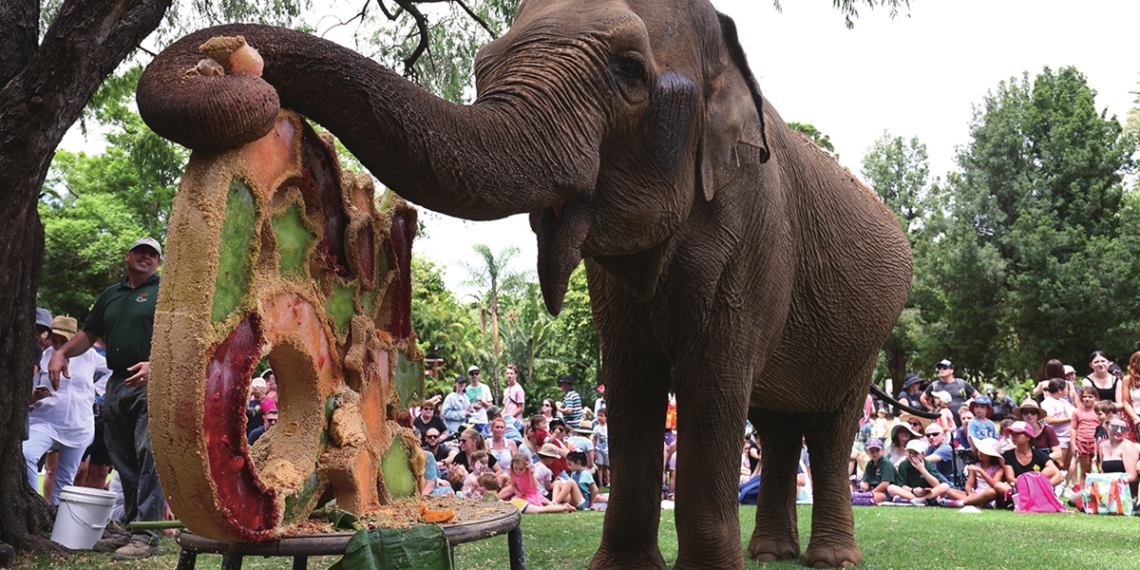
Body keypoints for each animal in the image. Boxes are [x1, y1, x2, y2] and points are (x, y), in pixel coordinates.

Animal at [137, 1, 912, 565]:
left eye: (631, 71)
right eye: (482, 65)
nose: (230, 63)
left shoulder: (752, 237)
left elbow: (713, 385)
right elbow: (631, 386)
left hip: (872, 330)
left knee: (829, 427)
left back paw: (830, 560)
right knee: (779, 427)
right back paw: (774, 553)